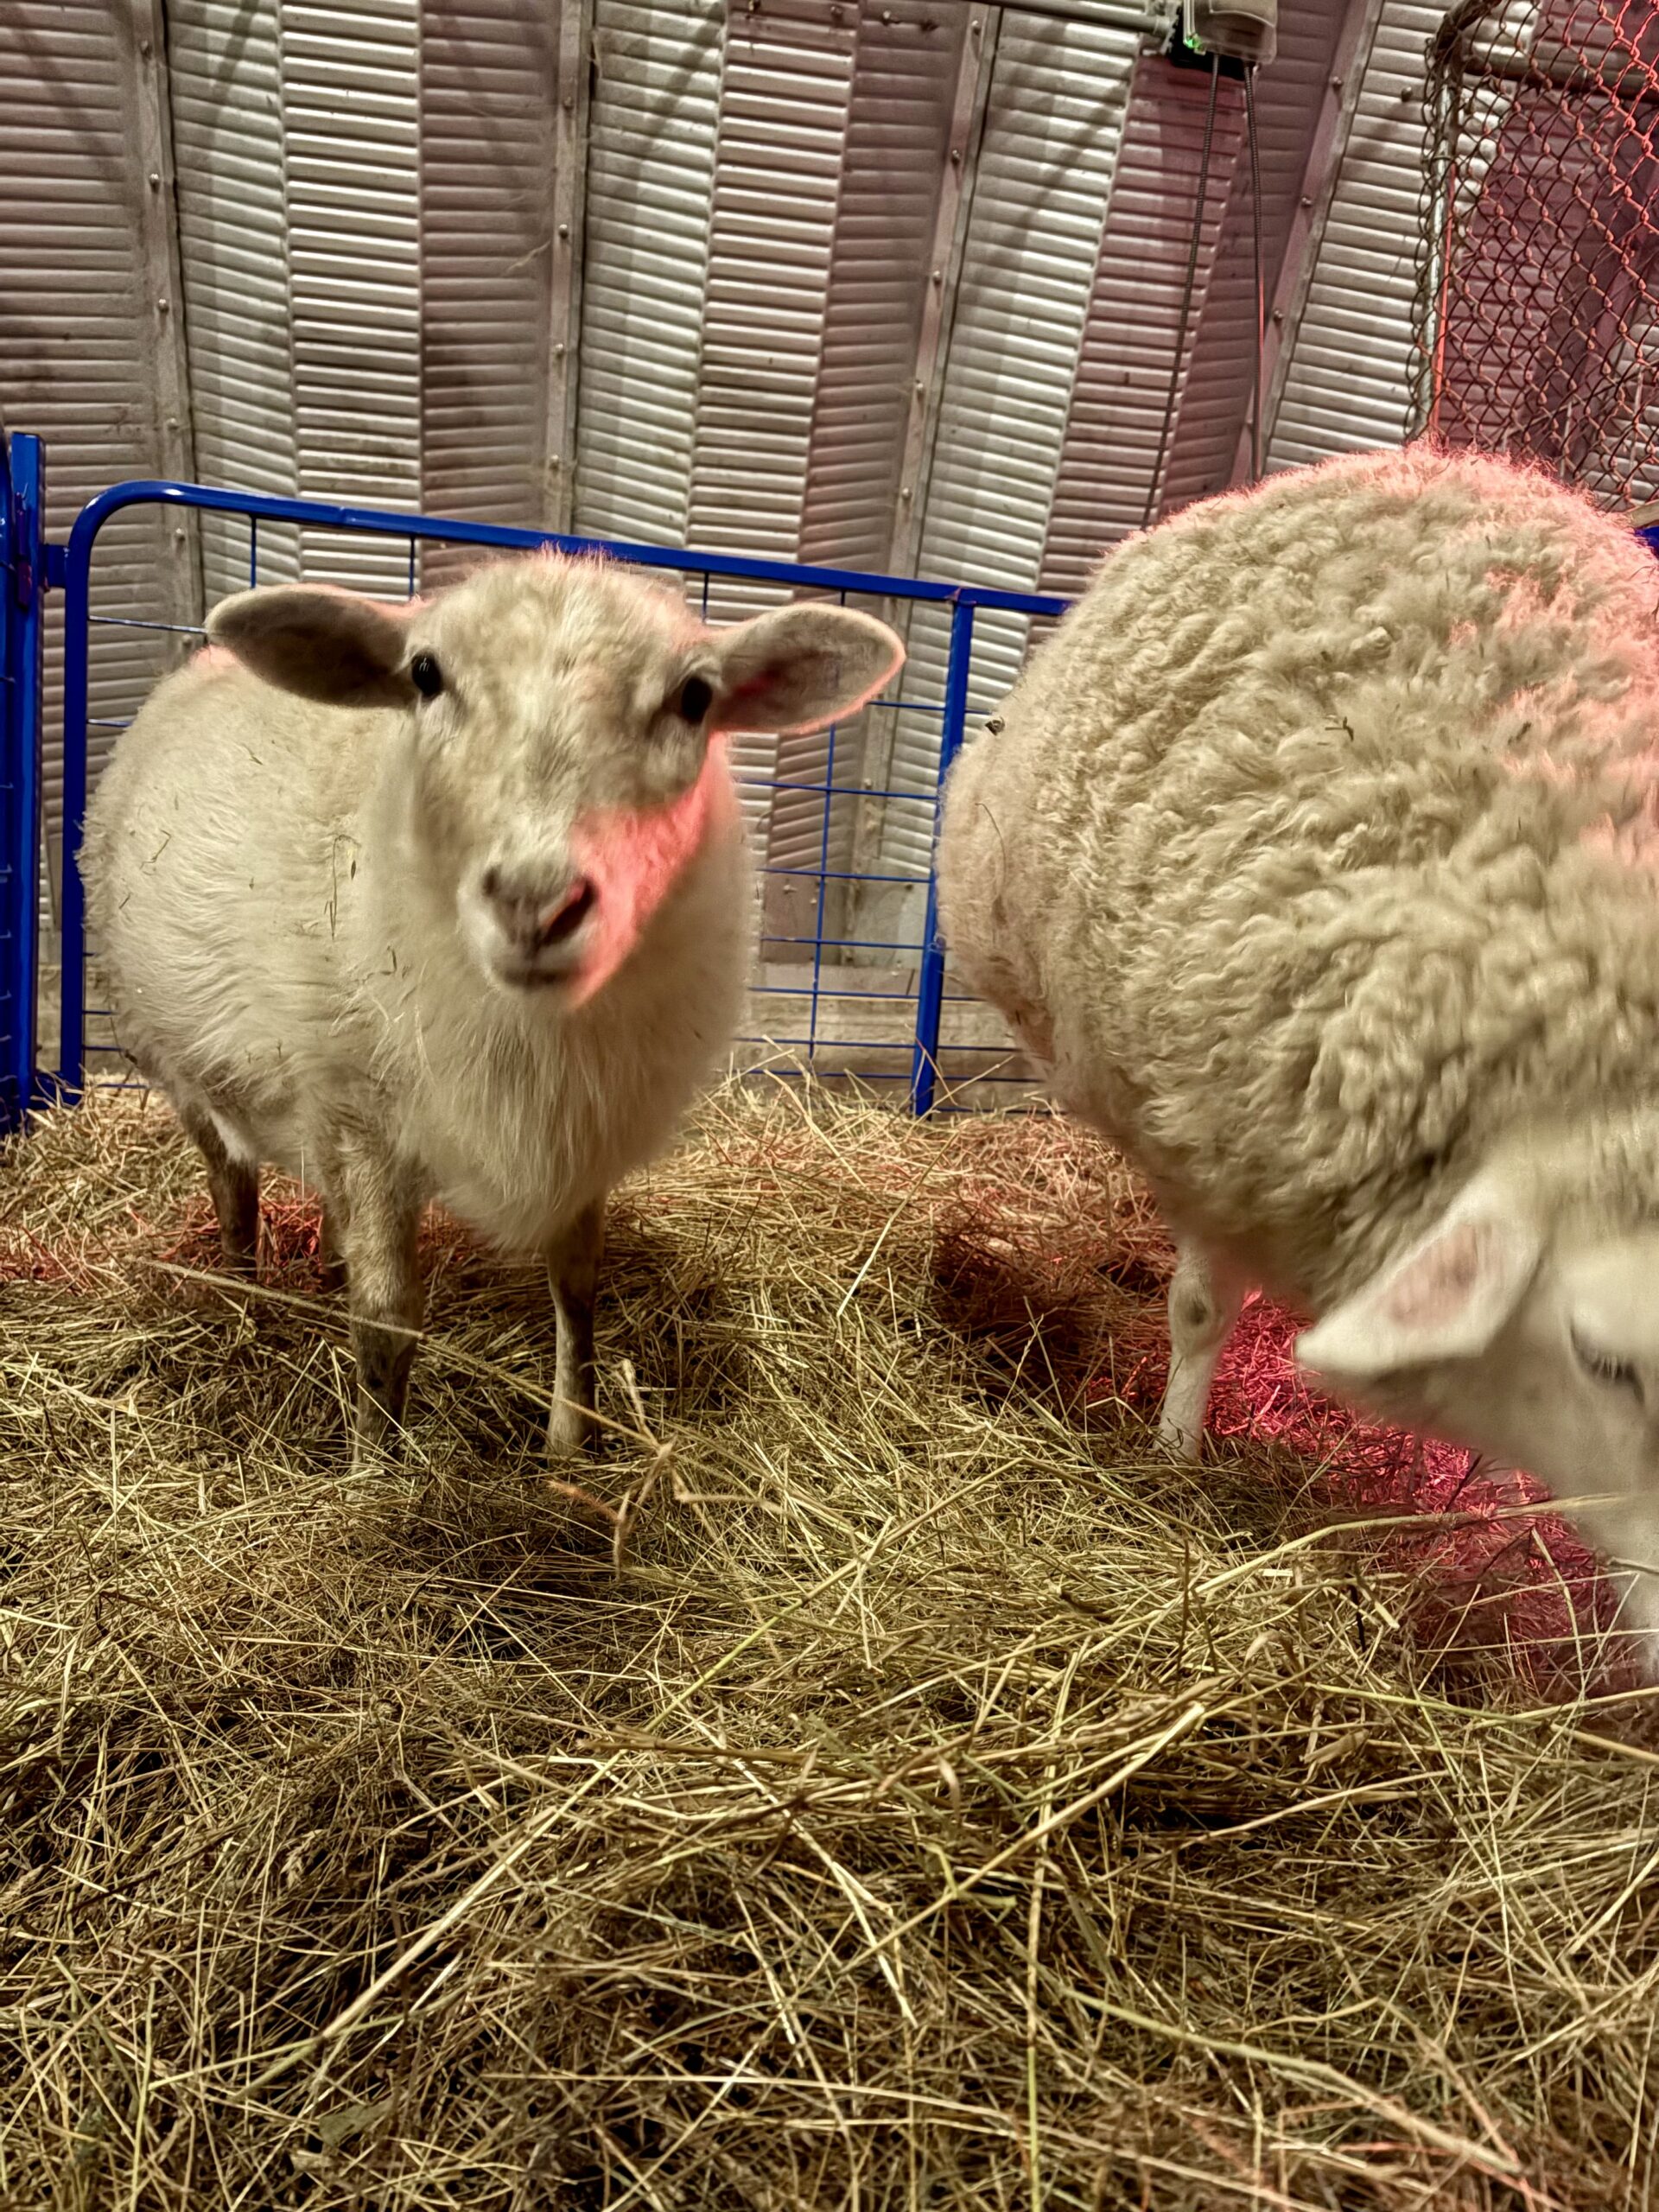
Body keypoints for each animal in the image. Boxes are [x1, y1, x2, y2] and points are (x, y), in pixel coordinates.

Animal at [81, 550, 903, 1457]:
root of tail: (200, 663)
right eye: (425, 675)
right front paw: (376, 1464)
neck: (532, 1031)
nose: (535, 905)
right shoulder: (360, 1110)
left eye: (694, 697)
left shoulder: (582, 1130)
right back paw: (243, 1299)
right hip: (176, 1060)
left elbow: (577, 1286)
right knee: (232, 1188)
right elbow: (387, 1316)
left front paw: (571, 1440)